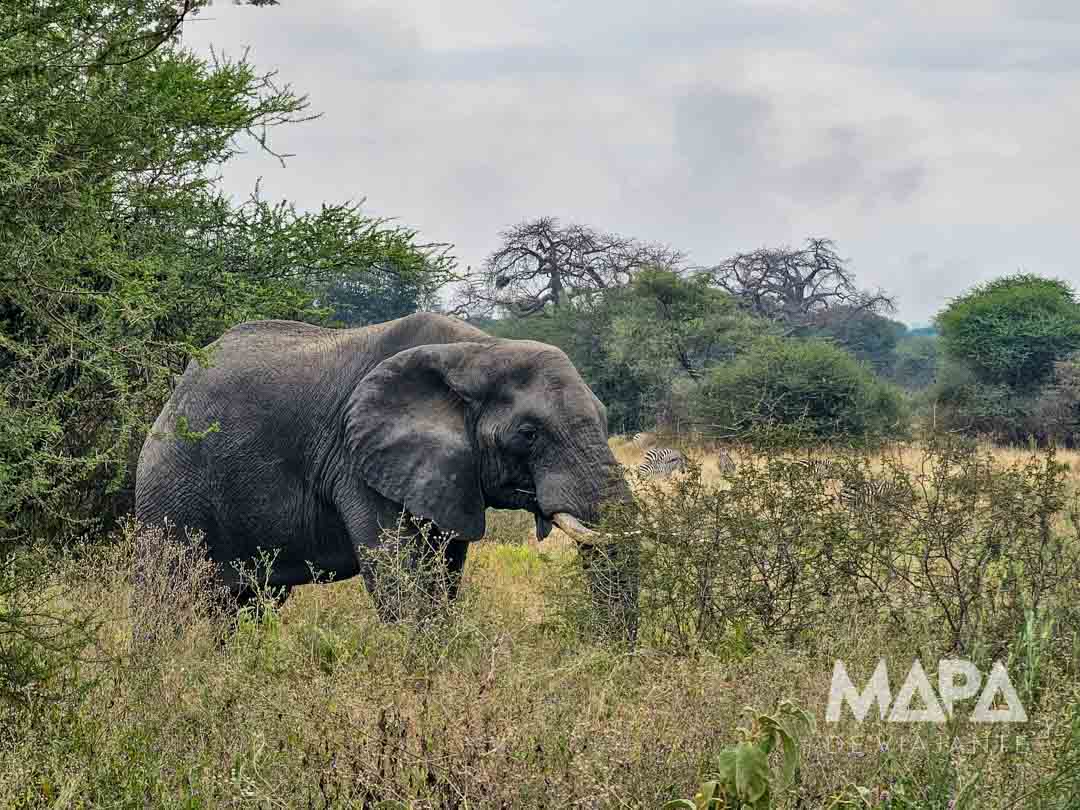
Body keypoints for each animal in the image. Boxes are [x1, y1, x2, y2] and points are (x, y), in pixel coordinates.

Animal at [135, 312, 635, 631]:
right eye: (529, 434)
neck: (477, 350)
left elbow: (443, 575)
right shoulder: (357, 460)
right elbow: (400, 577)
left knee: (247, 605)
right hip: (171, 487)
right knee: (166, 595)